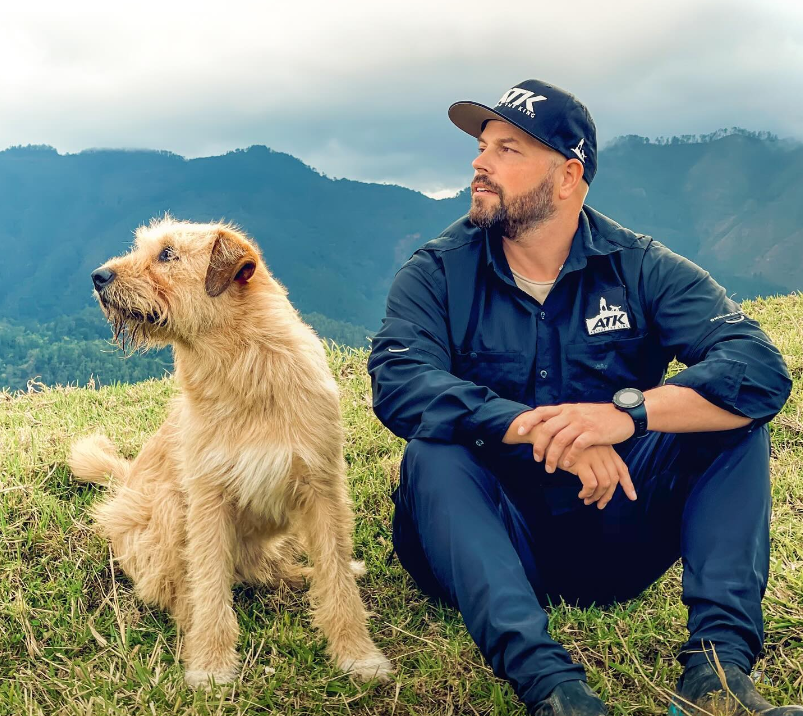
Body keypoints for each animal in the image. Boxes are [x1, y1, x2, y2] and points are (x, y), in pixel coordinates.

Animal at [69, 218, 392, 688]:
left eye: (167, 254)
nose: (98, 276)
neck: (244, 368)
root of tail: (124, 486)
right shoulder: (208, 498)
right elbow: (208, 585)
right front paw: (210, 662)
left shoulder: (322, 487)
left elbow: (335, 576)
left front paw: (358, 655)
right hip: (167, 510)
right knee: (176, 590)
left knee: (270, 569)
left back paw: (302, 576)